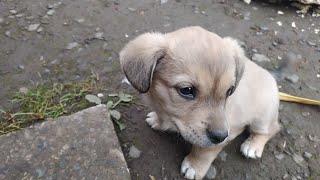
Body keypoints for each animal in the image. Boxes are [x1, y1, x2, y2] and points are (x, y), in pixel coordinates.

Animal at [120, 26, 280, 179]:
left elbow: (204, 151)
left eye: (229, 91)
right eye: (187, 90)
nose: (221, 136)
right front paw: (158, 120)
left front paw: (194, 166)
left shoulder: (223, 133)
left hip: (262, 117)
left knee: (272, 129)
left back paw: (253, 145)